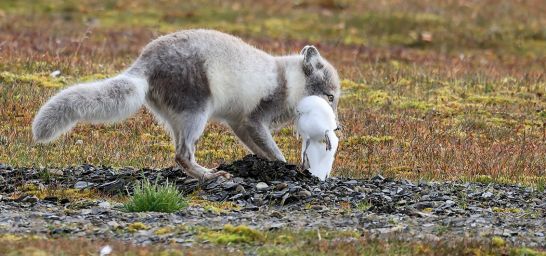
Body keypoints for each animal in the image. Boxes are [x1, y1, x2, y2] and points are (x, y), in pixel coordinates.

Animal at [31, 29, 338, 180]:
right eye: (331, 97)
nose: (336, 126)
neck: (290, 81)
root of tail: (143, 64)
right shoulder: (255, 118)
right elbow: (274, 150)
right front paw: (287, 167)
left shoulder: (240, 124)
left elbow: (258, 149)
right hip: (197, 111)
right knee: (182, 154)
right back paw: (209, 176)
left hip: (178, 117)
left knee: (179, 152)